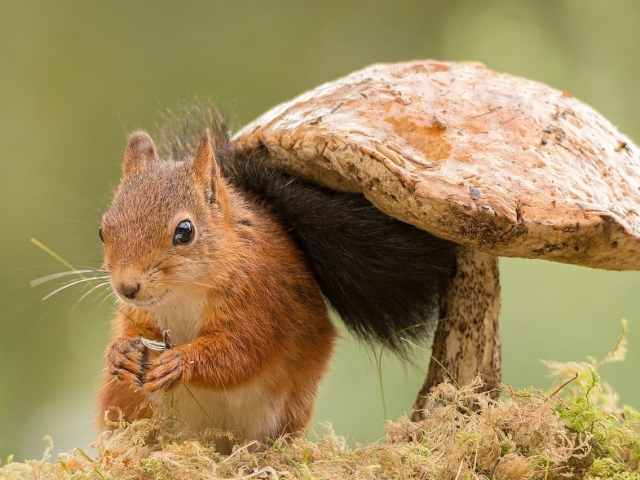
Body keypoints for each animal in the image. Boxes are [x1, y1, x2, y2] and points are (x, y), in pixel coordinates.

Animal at [97, 114, 456, 452]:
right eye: (103, 230)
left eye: (185, 231)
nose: (127, 288)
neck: (184, 294)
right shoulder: (140, 313)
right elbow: (130, 331)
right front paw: (120, 353)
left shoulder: (260, 297)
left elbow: (242, 351)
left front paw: (181, 362)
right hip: (125, 401)